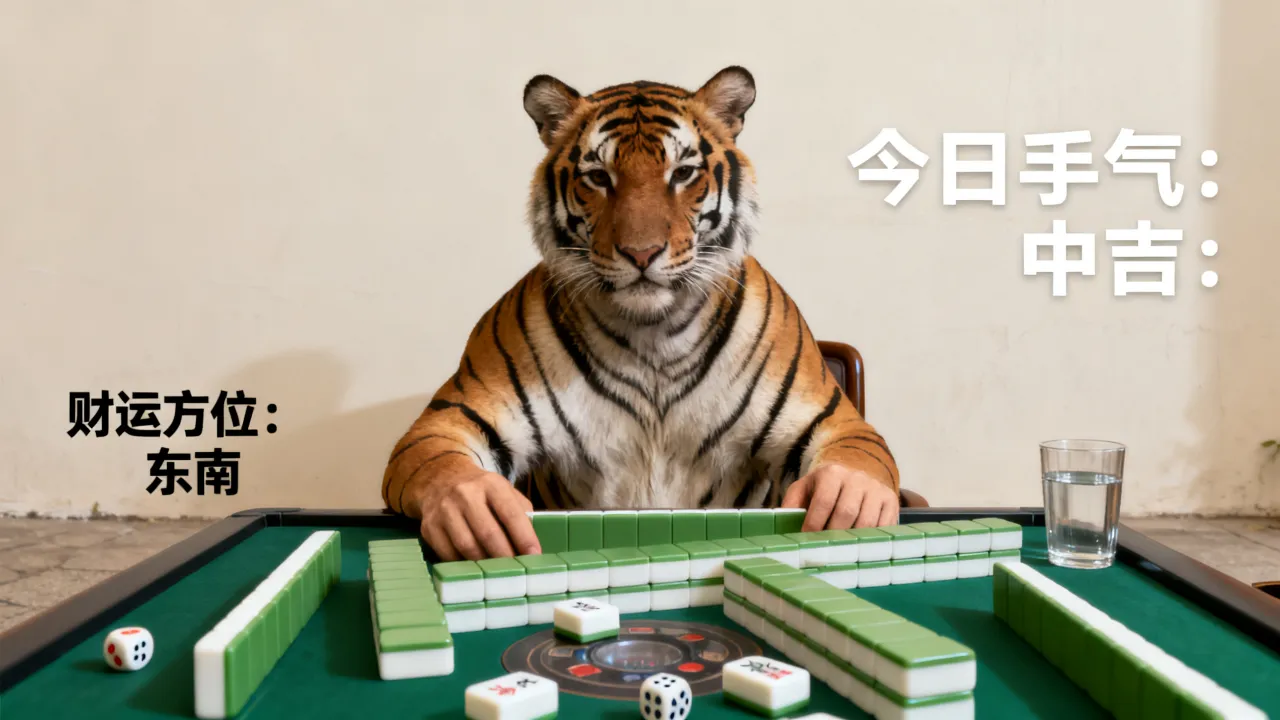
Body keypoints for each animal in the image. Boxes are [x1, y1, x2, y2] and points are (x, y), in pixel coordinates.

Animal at [382, 67, 901, 561]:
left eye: (683, 172)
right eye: (598, 177)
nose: (641, 253)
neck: (654, 334)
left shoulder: (830, 418)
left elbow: (860, 458)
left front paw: (847, 500)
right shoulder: (455, 415)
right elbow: (441, 464)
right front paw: (476, 509)